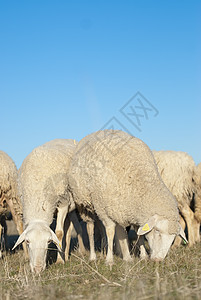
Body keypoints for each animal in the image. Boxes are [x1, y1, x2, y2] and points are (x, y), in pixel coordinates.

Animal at [12, 139, 85, 274]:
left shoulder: (63, 203)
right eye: (28, 241)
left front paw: (60, 261)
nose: (37, 269)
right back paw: (66, 254)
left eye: (48, 242)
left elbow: (59, 233)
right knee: (68, 230)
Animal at [68, 130, 187, 264]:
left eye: (172, 238)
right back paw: (93, 256)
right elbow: (110, 232)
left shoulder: (132, 212)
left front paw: (142, 255)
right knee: (90, 228)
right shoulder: (106, 210)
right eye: (157, 231)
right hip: (86, 204)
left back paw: (113, 252)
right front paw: (109, 260)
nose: (158, 260)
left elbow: (138, 233)